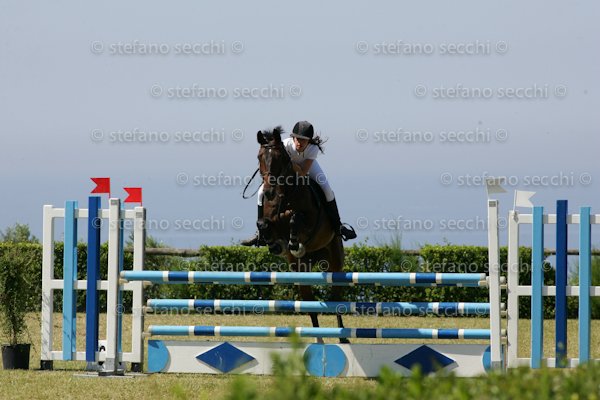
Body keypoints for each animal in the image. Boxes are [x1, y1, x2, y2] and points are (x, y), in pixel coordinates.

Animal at [255, 126, 348, 342]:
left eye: (280, 158)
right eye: (259, 157)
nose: (269, 192)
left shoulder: (311, 220)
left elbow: (295, 217)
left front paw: (294, 241)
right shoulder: (269, 220)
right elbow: (264, 224)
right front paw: (275, 243)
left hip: (335, 262)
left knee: (336, 299)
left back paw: (342, 338)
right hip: (300, 269)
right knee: (309, 302)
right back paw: (318, 338)